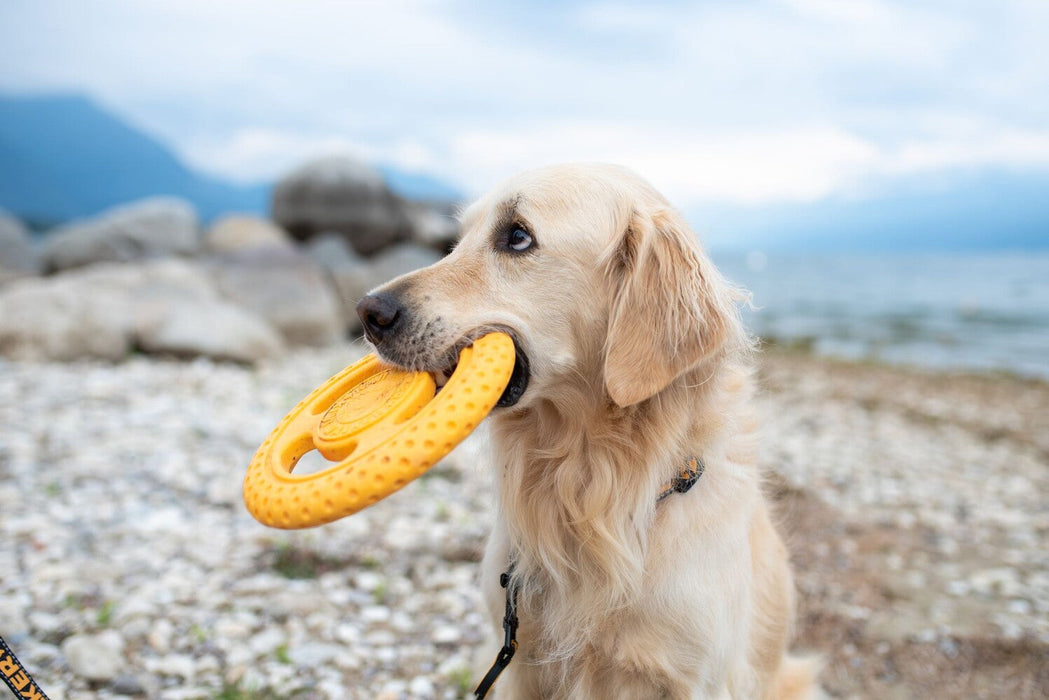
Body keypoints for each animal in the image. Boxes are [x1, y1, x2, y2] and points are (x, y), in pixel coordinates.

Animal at [358, 165, 818, 700]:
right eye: (456, 240)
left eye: (517, 236)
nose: (367, 311)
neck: (588, 491)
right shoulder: (518, 662)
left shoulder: (688, 677)